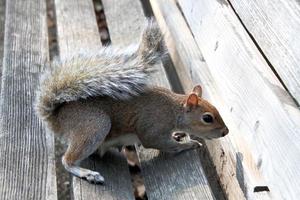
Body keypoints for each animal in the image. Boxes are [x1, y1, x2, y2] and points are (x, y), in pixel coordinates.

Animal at [35, 20, 229, 184]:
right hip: (94, 126)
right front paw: (189, 144)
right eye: (207, 118)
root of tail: (58, 119)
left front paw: (179, 135)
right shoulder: (153, 129)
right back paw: (87, 173)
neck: (174, 110)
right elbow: (159, 143)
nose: (225, 132)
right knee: (67, 160)